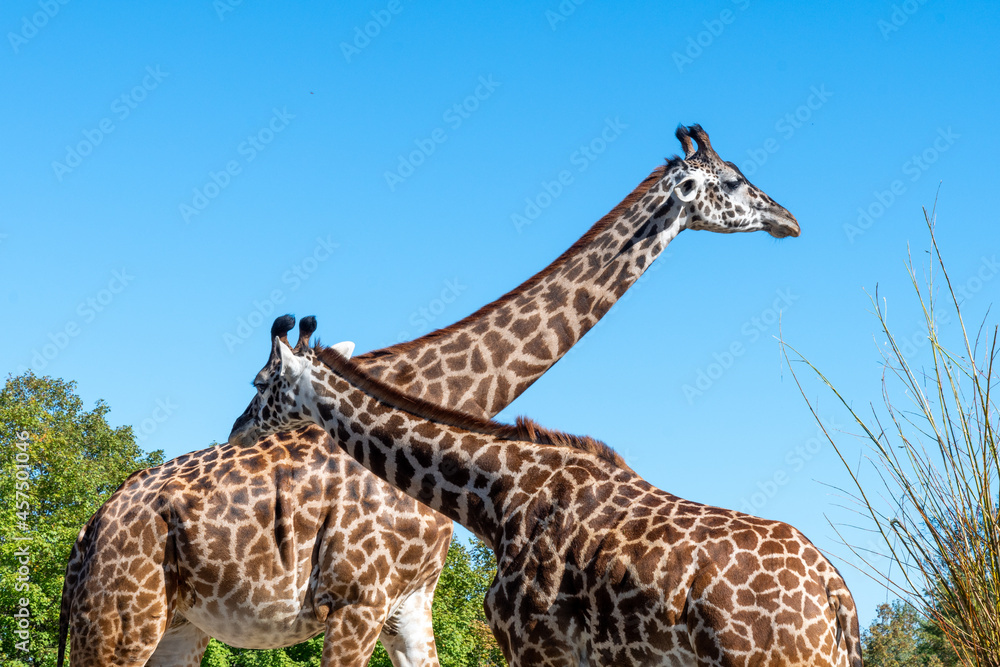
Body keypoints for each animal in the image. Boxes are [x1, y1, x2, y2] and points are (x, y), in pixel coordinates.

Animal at [57, 124, 800, 666]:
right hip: (121, 620)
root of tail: (89, 531)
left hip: (177, 626)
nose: (788, 218)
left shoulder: (407, 604)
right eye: (734, 181)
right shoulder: (355, 599)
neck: (459, 392)